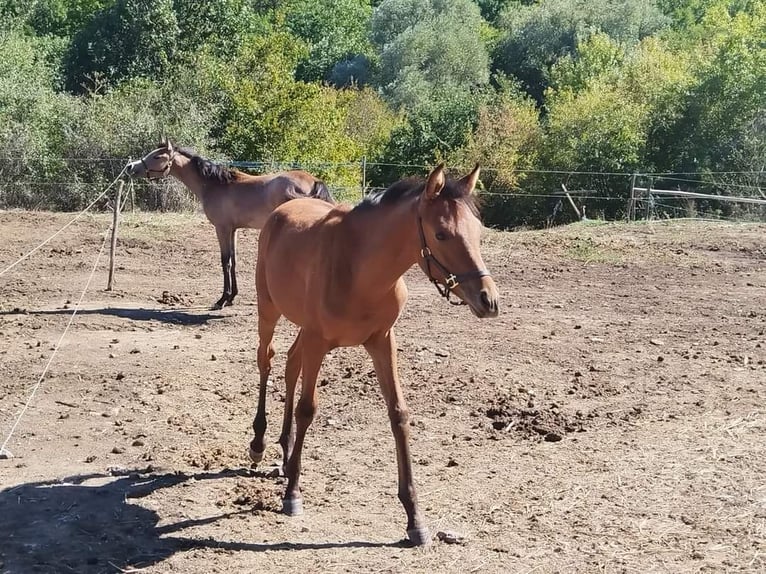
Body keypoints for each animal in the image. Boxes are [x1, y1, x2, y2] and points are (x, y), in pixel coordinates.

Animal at [127, 140, 334, 310]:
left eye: (157, 156)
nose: (130, 167)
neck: (215, 185)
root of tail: (314, 181)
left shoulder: (222, 228)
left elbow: (225, 261)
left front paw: (221, 300)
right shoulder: (234, 230)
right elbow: (233, 261)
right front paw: (232, 297)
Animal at [249, 164, 500, 548]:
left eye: (478, 231)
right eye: (441, 234)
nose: (488, 300)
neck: (358, 270)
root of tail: (282, 210)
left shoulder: (382, 341)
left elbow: (398, 414)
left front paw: (414, 518)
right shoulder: (319, 341)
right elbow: (308, 409)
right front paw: (292, 494)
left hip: (304, 330)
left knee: (291, 364)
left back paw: (286, 452)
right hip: (270, 310)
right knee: (267, 360)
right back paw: (260, 444)